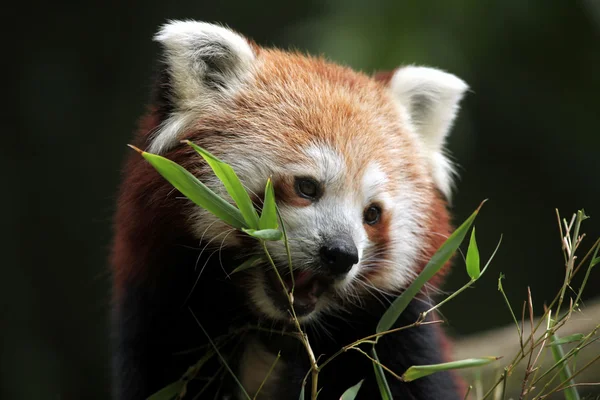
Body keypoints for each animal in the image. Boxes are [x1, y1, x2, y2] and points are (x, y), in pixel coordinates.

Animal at [111, 19, 468, 400]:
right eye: (306, 187)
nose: (341, 254)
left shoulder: (393, 332)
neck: (276, 329)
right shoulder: (165, 314)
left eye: (372, 214)